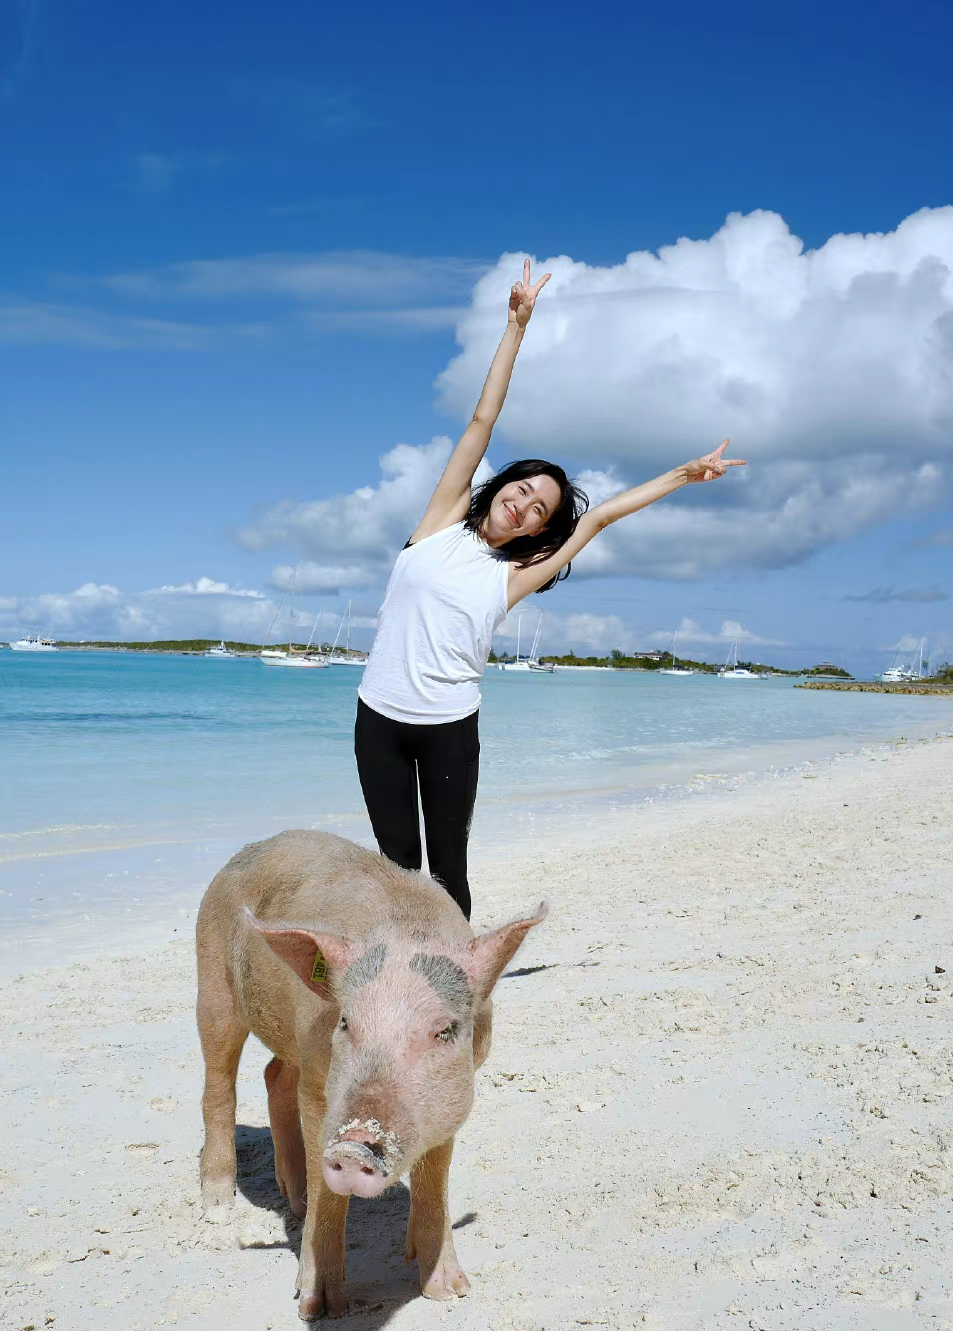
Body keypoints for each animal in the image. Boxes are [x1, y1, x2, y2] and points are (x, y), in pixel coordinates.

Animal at [195, 830, 543, 1320]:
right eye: (346, 1022)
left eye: (444, 1031)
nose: (354, 1145)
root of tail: (236, 859)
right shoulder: (321, 1086)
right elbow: (327, 1185)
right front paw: (316, 1308)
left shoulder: (451, 1098)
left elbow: (435, 1176)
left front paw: (450, 1291)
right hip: (212, 980)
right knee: (218, 1083)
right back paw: (218, 1207)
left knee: (273, 1074)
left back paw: (295, 1203)